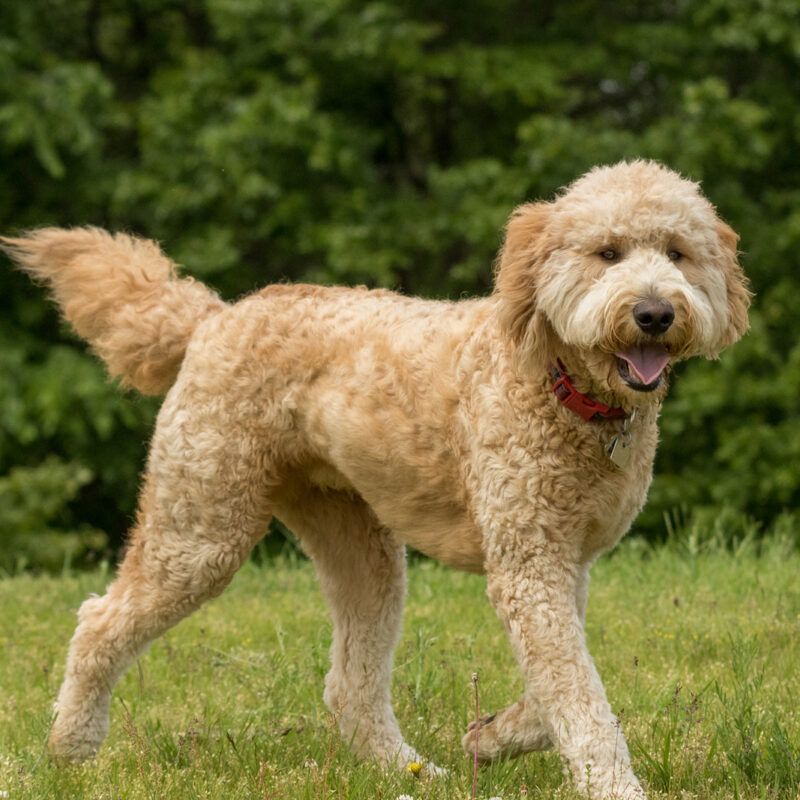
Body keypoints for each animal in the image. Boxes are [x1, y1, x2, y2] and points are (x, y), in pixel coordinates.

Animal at [1, 159, 752, 796]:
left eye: (678, 253)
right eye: (607, 252)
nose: (654, 312)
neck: (559, 382)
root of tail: (214, 316)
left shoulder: (563, 563)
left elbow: (560, 685)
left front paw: (492, 737)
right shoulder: (530, 565)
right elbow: (578, 694)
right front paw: (611, 783)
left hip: (359, 548)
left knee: (350, 686)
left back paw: (412, 772)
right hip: (201, 525)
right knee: (99, 620)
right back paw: (70, 747)